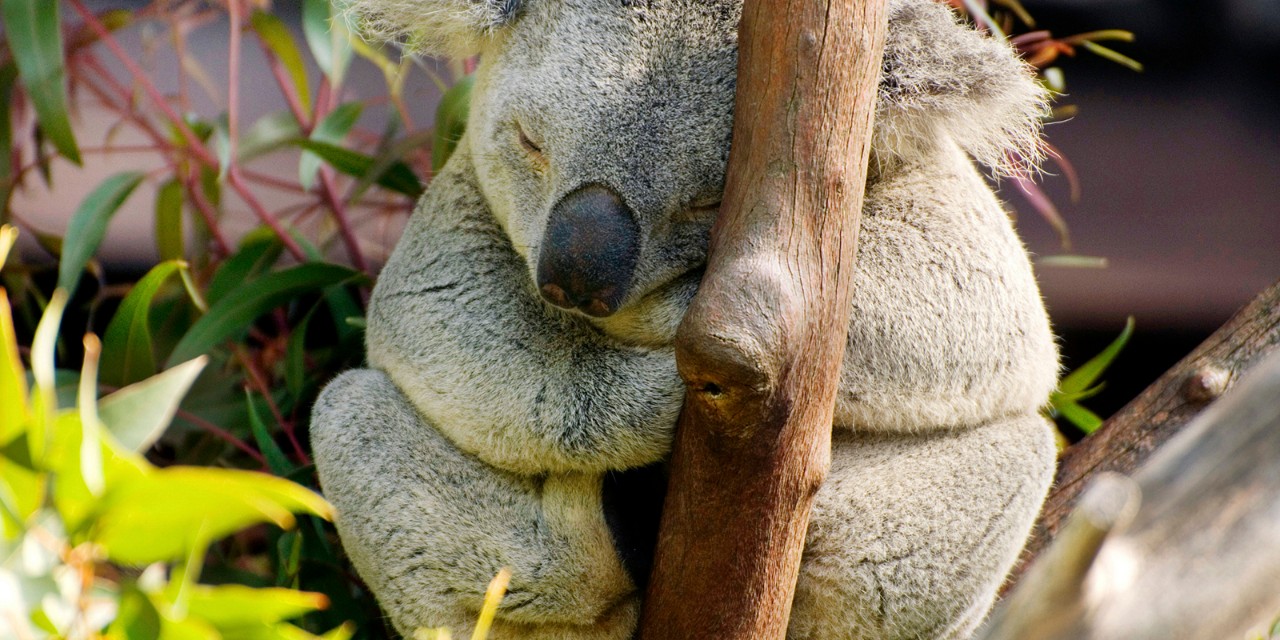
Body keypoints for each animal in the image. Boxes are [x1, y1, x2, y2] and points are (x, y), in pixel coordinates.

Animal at [310, 0, 1060, 638]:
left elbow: (983, 310)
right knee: (354, 419)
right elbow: (443, 318)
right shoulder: (457, 216)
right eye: (529, 143)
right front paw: (660, 389)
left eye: (705, 203)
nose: (578, 279)